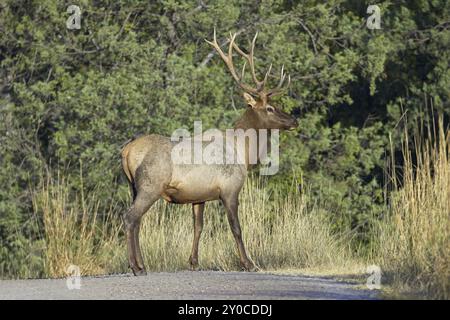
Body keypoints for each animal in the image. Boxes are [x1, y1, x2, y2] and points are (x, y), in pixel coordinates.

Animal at [122, 30, 298, 276]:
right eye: (270, 108)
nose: (294, 120)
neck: (244, 153)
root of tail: (127, 151)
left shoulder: (199, 196)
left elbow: (198, 227)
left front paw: (194, 262)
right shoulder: (230, 189)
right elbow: (236, 228)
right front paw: (249, 263)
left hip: (134, 188)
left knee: (137, 221)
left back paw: (142, 265)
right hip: (150, 185)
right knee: (130, 218)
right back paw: (136, 267)